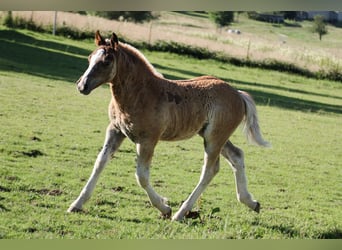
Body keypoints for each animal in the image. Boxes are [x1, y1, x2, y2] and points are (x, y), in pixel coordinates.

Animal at [67, 30, 270, 221]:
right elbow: (100, 162)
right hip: (212, 136)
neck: (140, 93)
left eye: (107, 61)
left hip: (214, 139)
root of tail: (238, 94)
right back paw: (251, 202)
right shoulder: (116, 130)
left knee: (209, 170)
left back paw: (180, 214)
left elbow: (141, 176)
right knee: (237, 155)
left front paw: (164, 207)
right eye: (90, 58)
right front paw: (76, 204)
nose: (82, 85)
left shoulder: (148, 139)